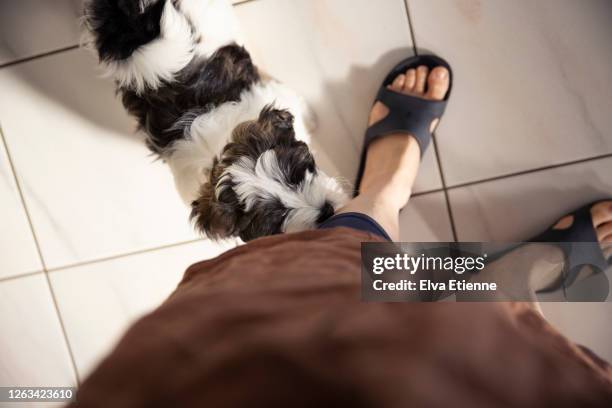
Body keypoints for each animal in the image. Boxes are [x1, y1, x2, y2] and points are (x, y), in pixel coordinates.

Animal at [85, 0, 350, 241]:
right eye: (277, 218)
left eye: (296, 175)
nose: (326, 210)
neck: (217, 150)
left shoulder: (272, 95)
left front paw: (310, 119)